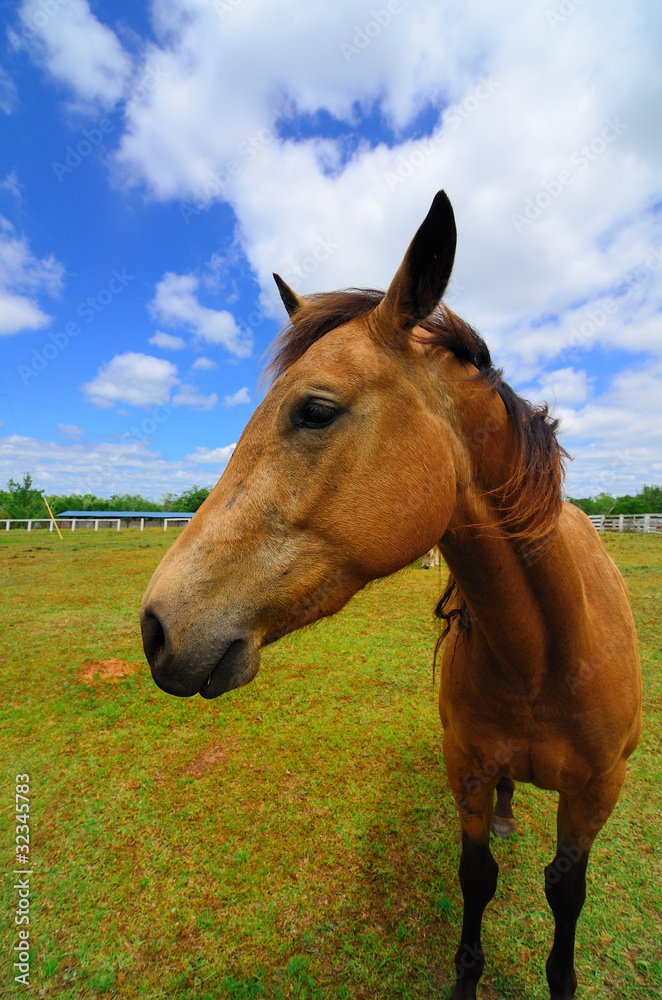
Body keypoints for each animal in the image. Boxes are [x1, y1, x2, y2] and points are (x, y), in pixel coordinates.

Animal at [140, 191, 644, 996]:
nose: (156, 626)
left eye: (315, 410)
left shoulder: (597, 794)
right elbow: (477, 879)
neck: (545, 657)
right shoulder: (467, 773)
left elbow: (566, 893)